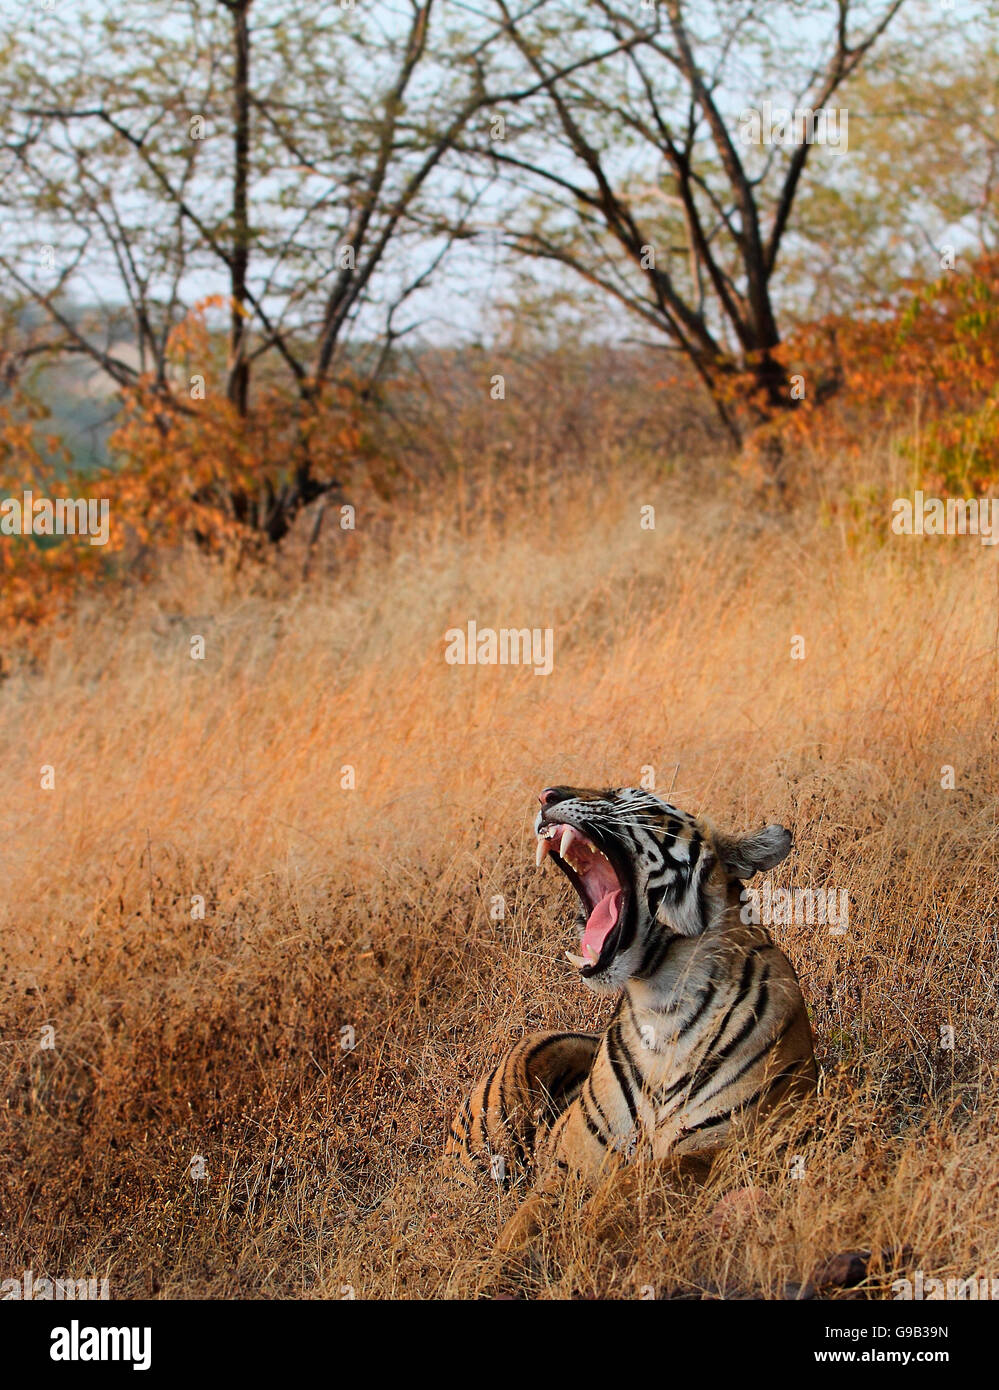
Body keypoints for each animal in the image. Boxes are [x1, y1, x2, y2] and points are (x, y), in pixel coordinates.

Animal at [450, 783, 816, 1251]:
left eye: (630, 798)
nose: (546, 794)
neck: (662, 1003)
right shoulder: (575, 1160)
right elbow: (520, 1232)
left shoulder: (731, 1145)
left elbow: (642, 1180)